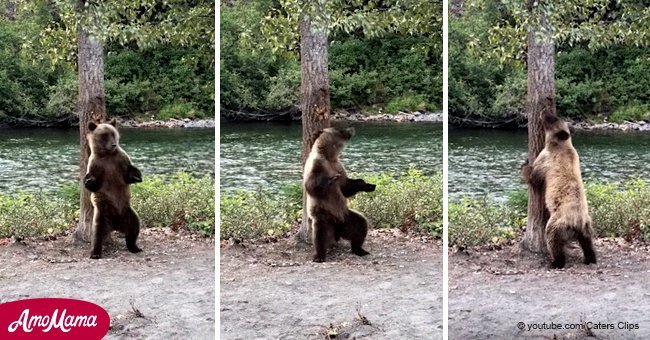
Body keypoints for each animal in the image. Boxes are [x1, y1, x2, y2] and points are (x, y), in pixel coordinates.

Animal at [84, 118, 142, 258]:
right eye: (104, 136)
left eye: (113, 134)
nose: (113, 144)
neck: (108, 155)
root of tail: (116, 224)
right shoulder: (96, 165)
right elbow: (94, 184)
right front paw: (89, 180)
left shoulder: (120, 159)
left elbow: (128, 174)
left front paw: (136, 175)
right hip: (102, 215)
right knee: (97, 234)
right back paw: (95, 253)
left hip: (128, 213)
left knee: (134, 228)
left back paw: (135, 247)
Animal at [304, 127, 374, 262]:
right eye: (339, 129)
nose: (351, 128)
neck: (329, 157)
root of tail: (336, 228)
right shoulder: (316, 164)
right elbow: (311, 185)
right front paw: (330, 180)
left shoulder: (339, 166)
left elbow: (346, 188)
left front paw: (365, 184)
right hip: (324, 215)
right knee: (320, 235)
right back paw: (319, 256)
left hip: (346, 217)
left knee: (360, 226)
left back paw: (360, 250)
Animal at [520, 113, 596, 270]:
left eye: (553, 119)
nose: (545, 114)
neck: (560, 144)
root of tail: (577, 223)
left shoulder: (546, 161)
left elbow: (534, 177)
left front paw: (524, 166)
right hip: (586, 226)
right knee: (588, 243)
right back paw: (590, 258)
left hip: (558, 222)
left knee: (552, 239)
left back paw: (555, 262)